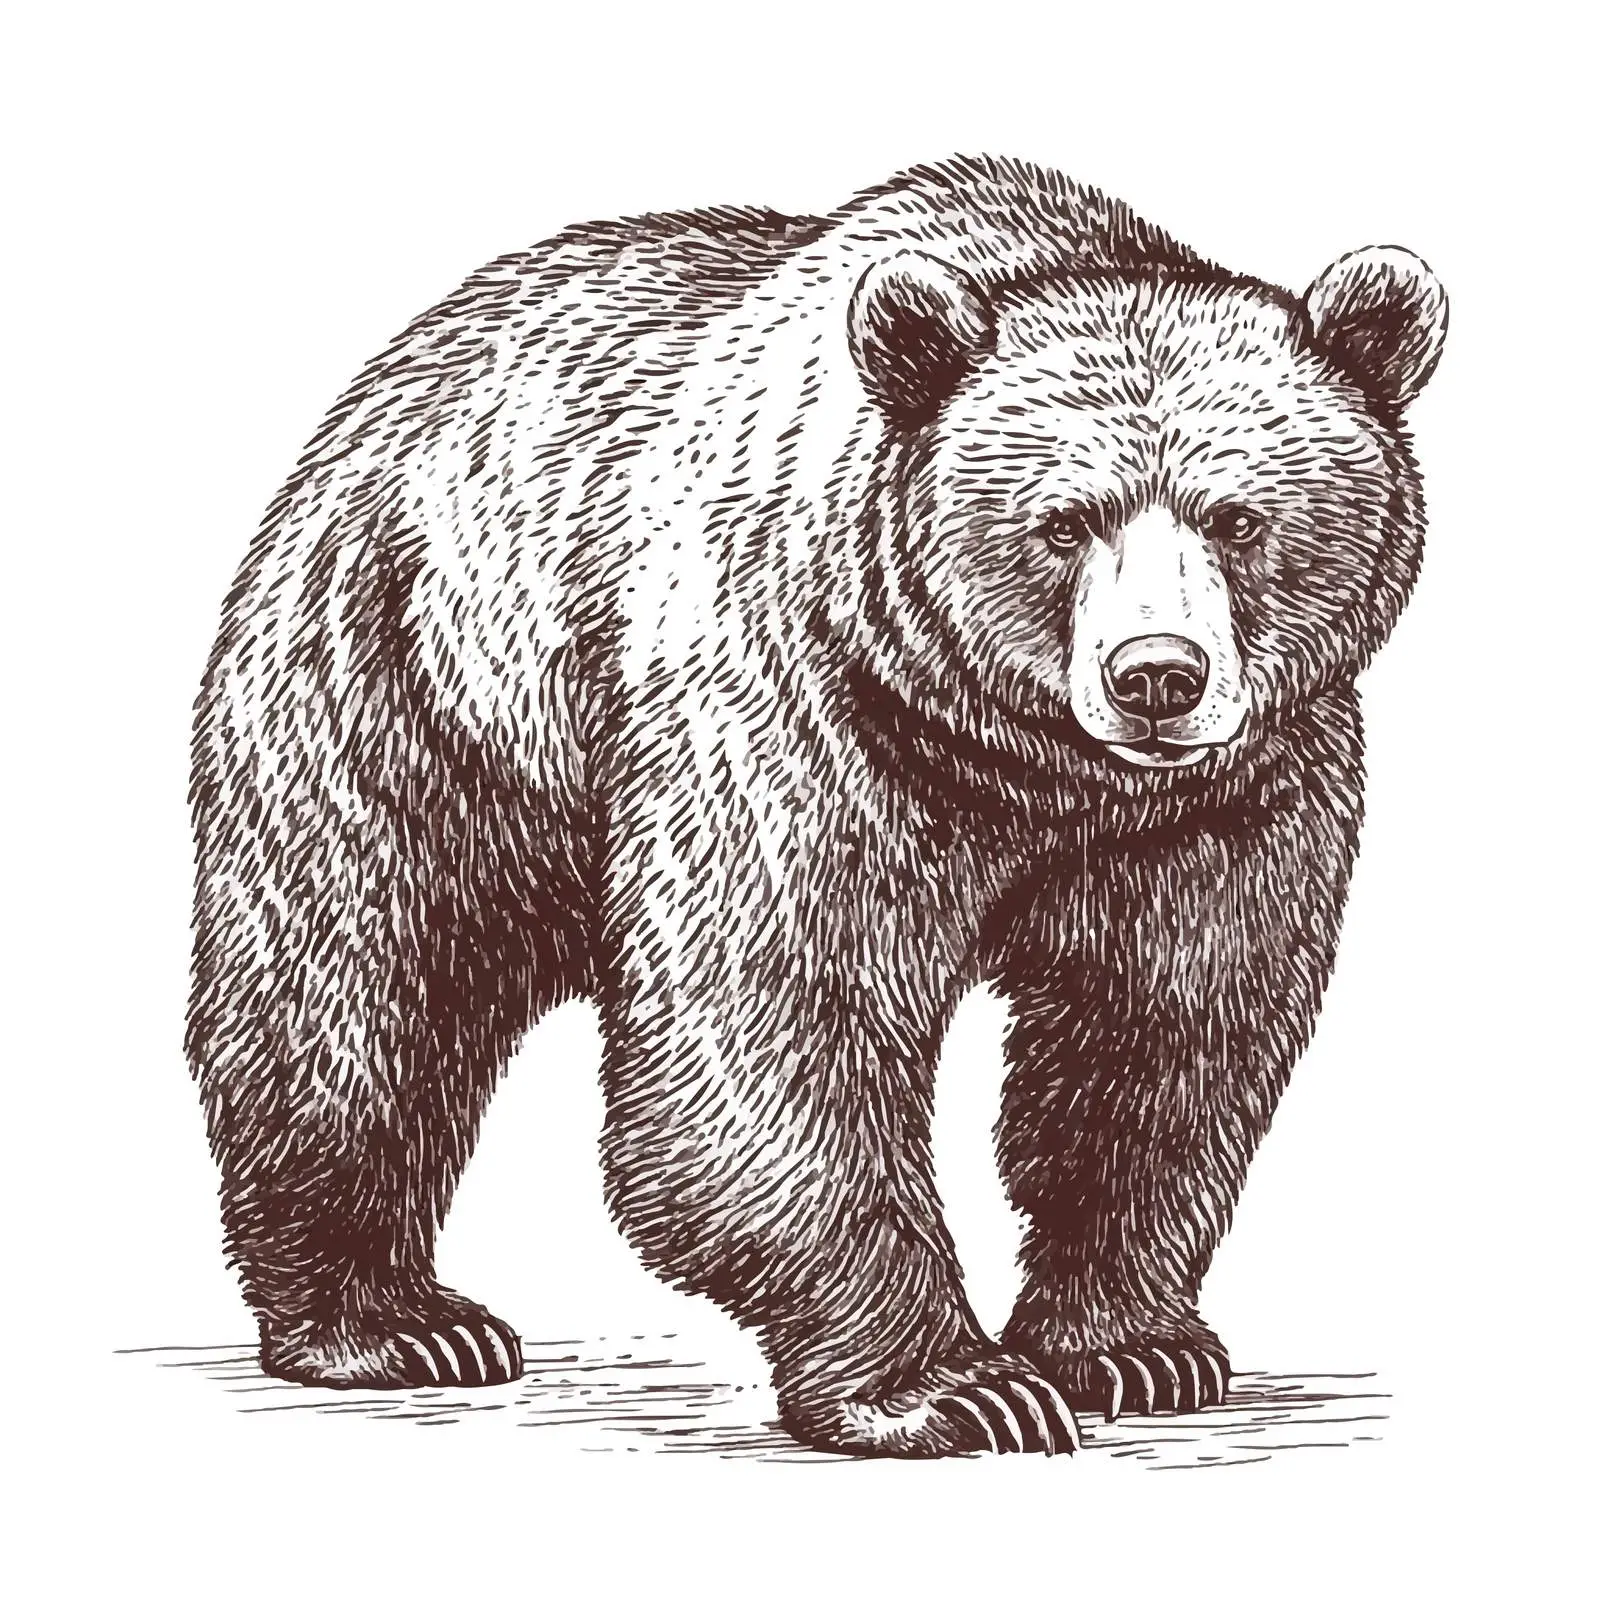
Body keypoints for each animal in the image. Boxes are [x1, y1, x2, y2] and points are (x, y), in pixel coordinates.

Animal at [187, 153, 1447, 1457]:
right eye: (1061, 521)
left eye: (1238, 517)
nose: (1157, 673)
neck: (1031, 769)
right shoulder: (801, 707)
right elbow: (781, 1024)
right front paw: (957, 1386)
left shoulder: (1228, 794)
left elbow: (1160, 1030)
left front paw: (1130, 1343)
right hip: (404, 685)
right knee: (361, 989)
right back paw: (389, 1321)